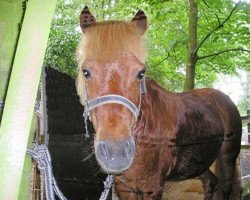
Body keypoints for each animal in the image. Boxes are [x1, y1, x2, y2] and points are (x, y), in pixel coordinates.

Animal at [76, 6, 242, 200]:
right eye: (85, 72)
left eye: (141, 73)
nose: (116, 153)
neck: (145, 134)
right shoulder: (125, 188)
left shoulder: (152, 187)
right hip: (198, 162)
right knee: (211, 183)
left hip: (228, 156)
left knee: (226, 186)